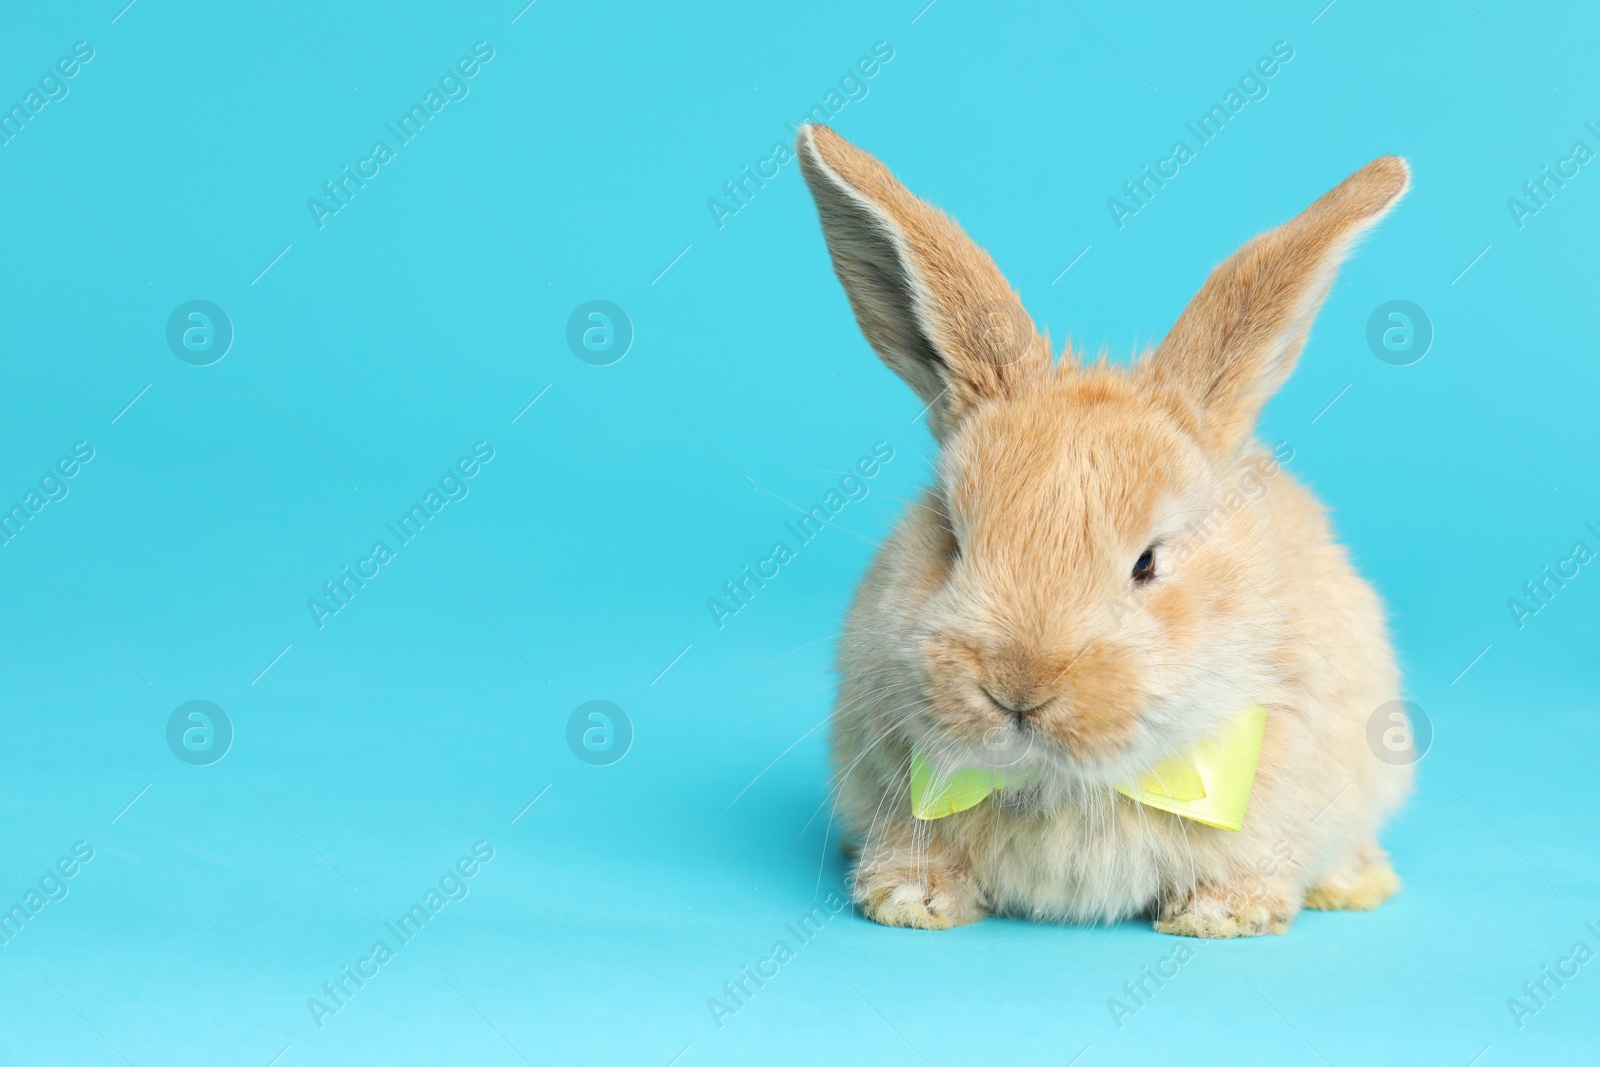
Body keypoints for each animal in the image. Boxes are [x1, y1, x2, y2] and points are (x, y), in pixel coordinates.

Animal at [796, 125, 1414, 940]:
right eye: (952, 539)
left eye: (1147, 563)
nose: (1018, 689)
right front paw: (910, 902)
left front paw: (1220, 917)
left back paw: (1355, 885)